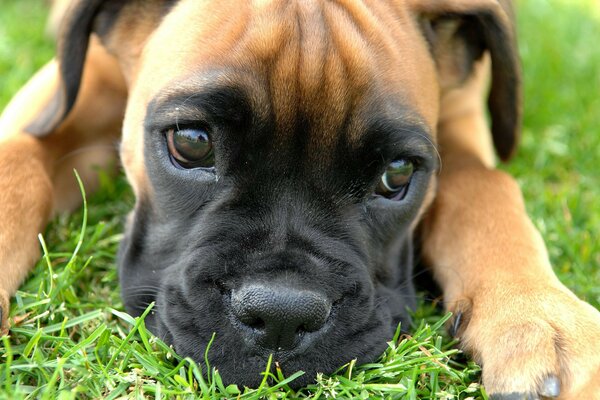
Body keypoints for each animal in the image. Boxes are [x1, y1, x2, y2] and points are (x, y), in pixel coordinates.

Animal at [1, 0, 600, 396]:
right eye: (191, 142)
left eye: (397, 176)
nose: (281, 316)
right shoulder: (74, 89)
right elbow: (17, 160)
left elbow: (486, 187)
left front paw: (534, 316)